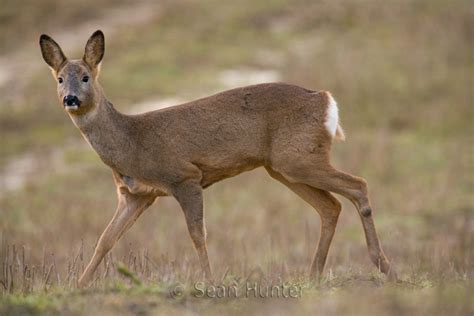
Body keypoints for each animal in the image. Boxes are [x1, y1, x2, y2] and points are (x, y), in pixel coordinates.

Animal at [39, 30, 396, 288]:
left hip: (299, 159)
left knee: (358, 185)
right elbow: (105, 240)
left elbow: (198, 235)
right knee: (330, 206)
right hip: (283, 168)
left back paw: (384, 266)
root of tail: (326, 100)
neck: (131, 143)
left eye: (86, 77)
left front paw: (209, 282)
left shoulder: (184, 177)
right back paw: (315, 275)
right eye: (60, 79)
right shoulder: (135, 196)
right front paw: (78, 286)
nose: (70, 99)